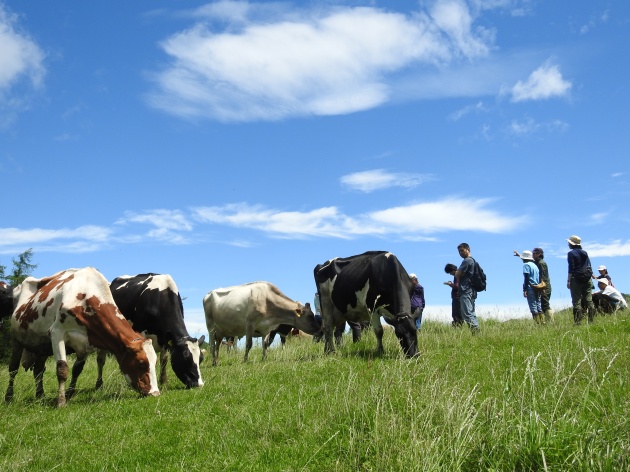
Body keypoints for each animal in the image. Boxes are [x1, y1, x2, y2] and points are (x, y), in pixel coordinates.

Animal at [4, 268, 160, 408]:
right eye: (141, 363)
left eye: (155, 362)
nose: (155, 393)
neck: (86, 297)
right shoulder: (56, 333)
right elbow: (62, 369)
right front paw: (61, 402)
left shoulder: (86, 342)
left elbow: (77, 369)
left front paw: (69, 394)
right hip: (16, 339)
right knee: (13, 369)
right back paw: (9, 398)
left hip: (42, 345)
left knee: (38, 369)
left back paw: (40, 395)